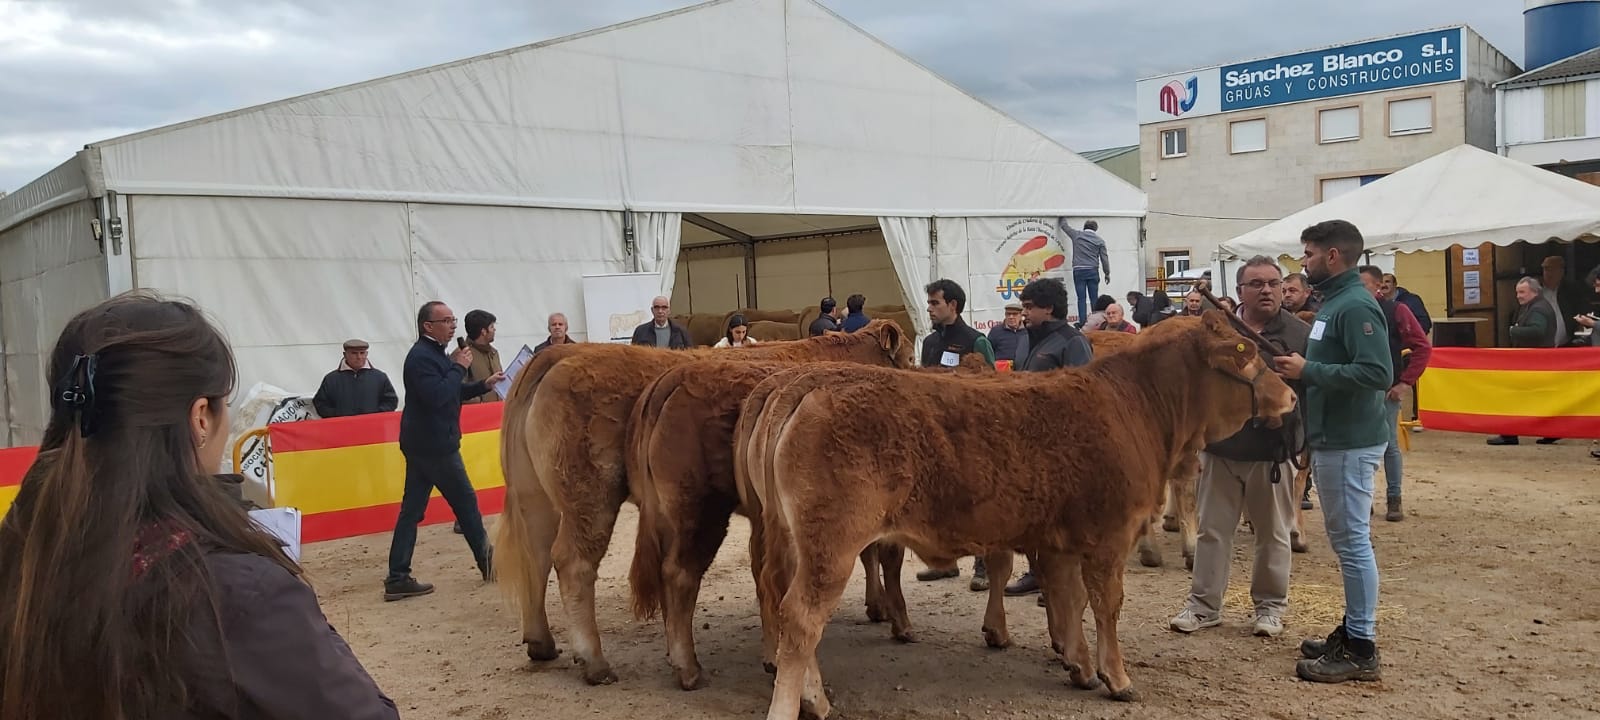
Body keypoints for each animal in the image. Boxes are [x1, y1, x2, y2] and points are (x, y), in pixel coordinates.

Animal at [489, 320, 915, 684]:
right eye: (911, 357)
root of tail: (558, 355)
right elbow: (879, 552)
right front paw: (889, 614)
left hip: (539, 499)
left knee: (537, 558)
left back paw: (542, 643)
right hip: (595, 499)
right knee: (577, 563)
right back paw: (600, 663)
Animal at [627, 352, 985, 688]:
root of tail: (673, 377)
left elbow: (869, 556)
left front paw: (877, 606)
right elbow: (888, 561)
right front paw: (900, 621)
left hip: (675, 516)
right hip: (701, 513)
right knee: (682, 574)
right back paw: (691, 669)